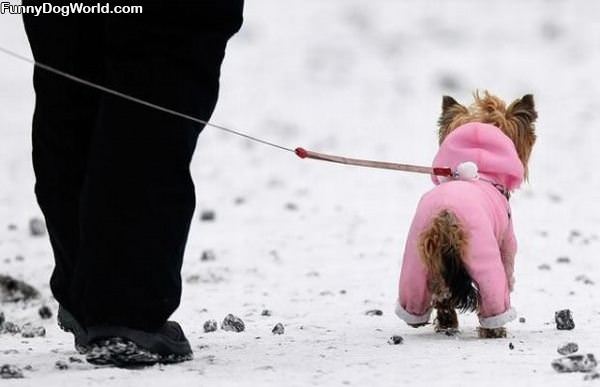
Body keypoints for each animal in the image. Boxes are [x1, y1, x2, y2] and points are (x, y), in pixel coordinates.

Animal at [394, 90, 540, 336]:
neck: (483, 173)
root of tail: (445, 216)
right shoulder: (506, 242)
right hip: (483, 255)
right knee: (493, 298)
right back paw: (495, 331)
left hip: (416, 258)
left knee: (424, 296)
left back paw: (438, 321)